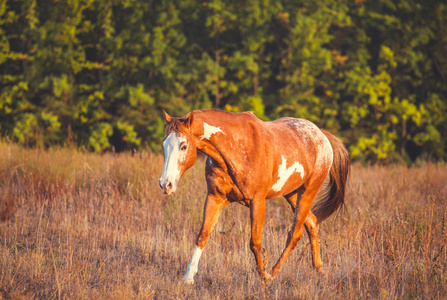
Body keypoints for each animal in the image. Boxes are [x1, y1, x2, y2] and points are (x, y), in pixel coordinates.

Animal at [158, 108, 350, 284]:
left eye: (183, 146)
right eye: (163, 145)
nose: (165, 184)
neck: (237, 146)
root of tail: (321, 136)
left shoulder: (257, 201)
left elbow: (255, 242)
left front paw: (263, 276)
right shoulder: (214, 197)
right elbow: (203, 235)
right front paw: (188, 277)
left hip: (308, 191)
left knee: (295, 233)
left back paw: (274, 273)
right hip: (292, 194)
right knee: (311, 223)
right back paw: (319, 269)